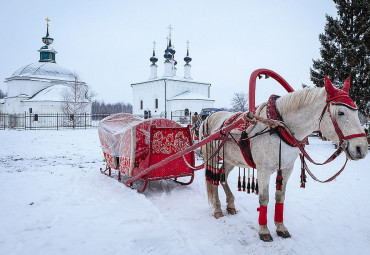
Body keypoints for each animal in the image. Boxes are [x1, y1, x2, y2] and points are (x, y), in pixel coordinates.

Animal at [201, 77, 368, 241]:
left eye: (357, 111)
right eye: (341, 112)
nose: (362, 148)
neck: (279, 127)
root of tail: (208, 118)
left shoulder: (287, 168)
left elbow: (280, 197)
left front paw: (281, 228)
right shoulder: (263, 170)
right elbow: (264, 198)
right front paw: (264, 230)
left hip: (230, 159)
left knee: (222, 176)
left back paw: (230, 204)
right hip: (213, 156)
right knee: (213, 179)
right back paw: (217, 208)